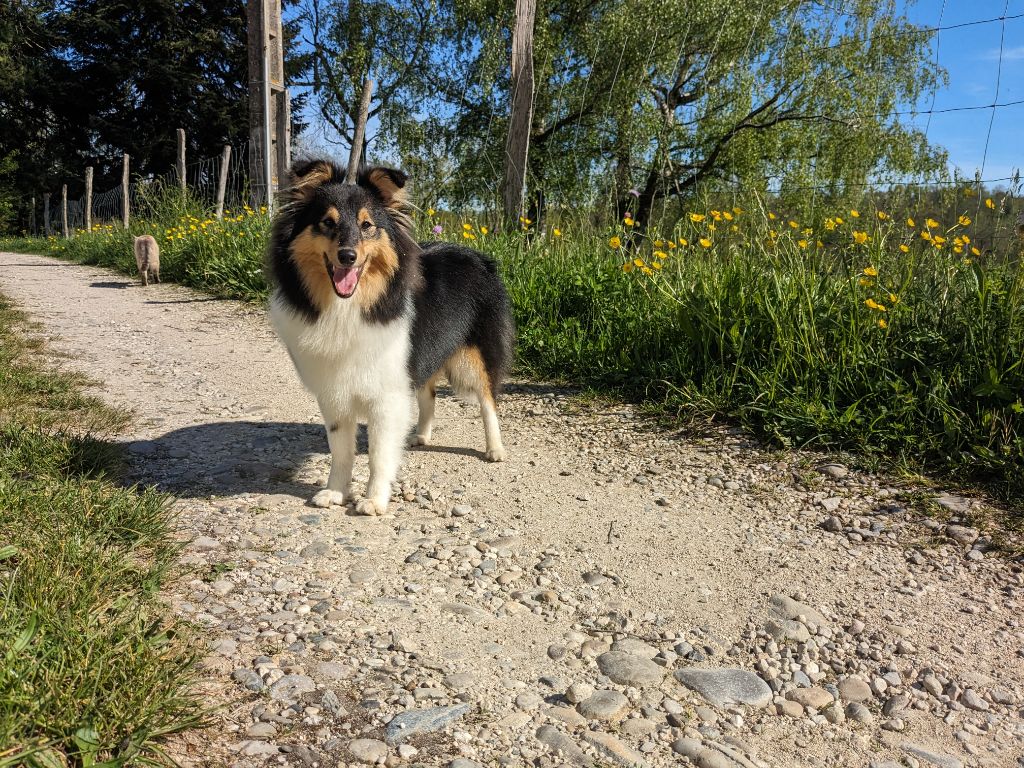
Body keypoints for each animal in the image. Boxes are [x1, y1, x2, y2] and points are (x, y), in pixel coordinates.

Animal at [268, 158, 516, 514]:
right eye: (326, 222)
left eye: (367, 225)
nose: (347, 256)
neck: (349, 305)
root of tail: (481, 256)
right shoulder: (334, 392)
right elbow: (340, 450)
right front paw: (335, 492)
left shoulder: (386, 395)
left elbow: (379, 453)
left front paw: (373, 500)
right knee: (428, 394)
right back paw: (421, 435)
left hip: (475, 355)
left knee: (488, 399)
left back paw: (495, 448)